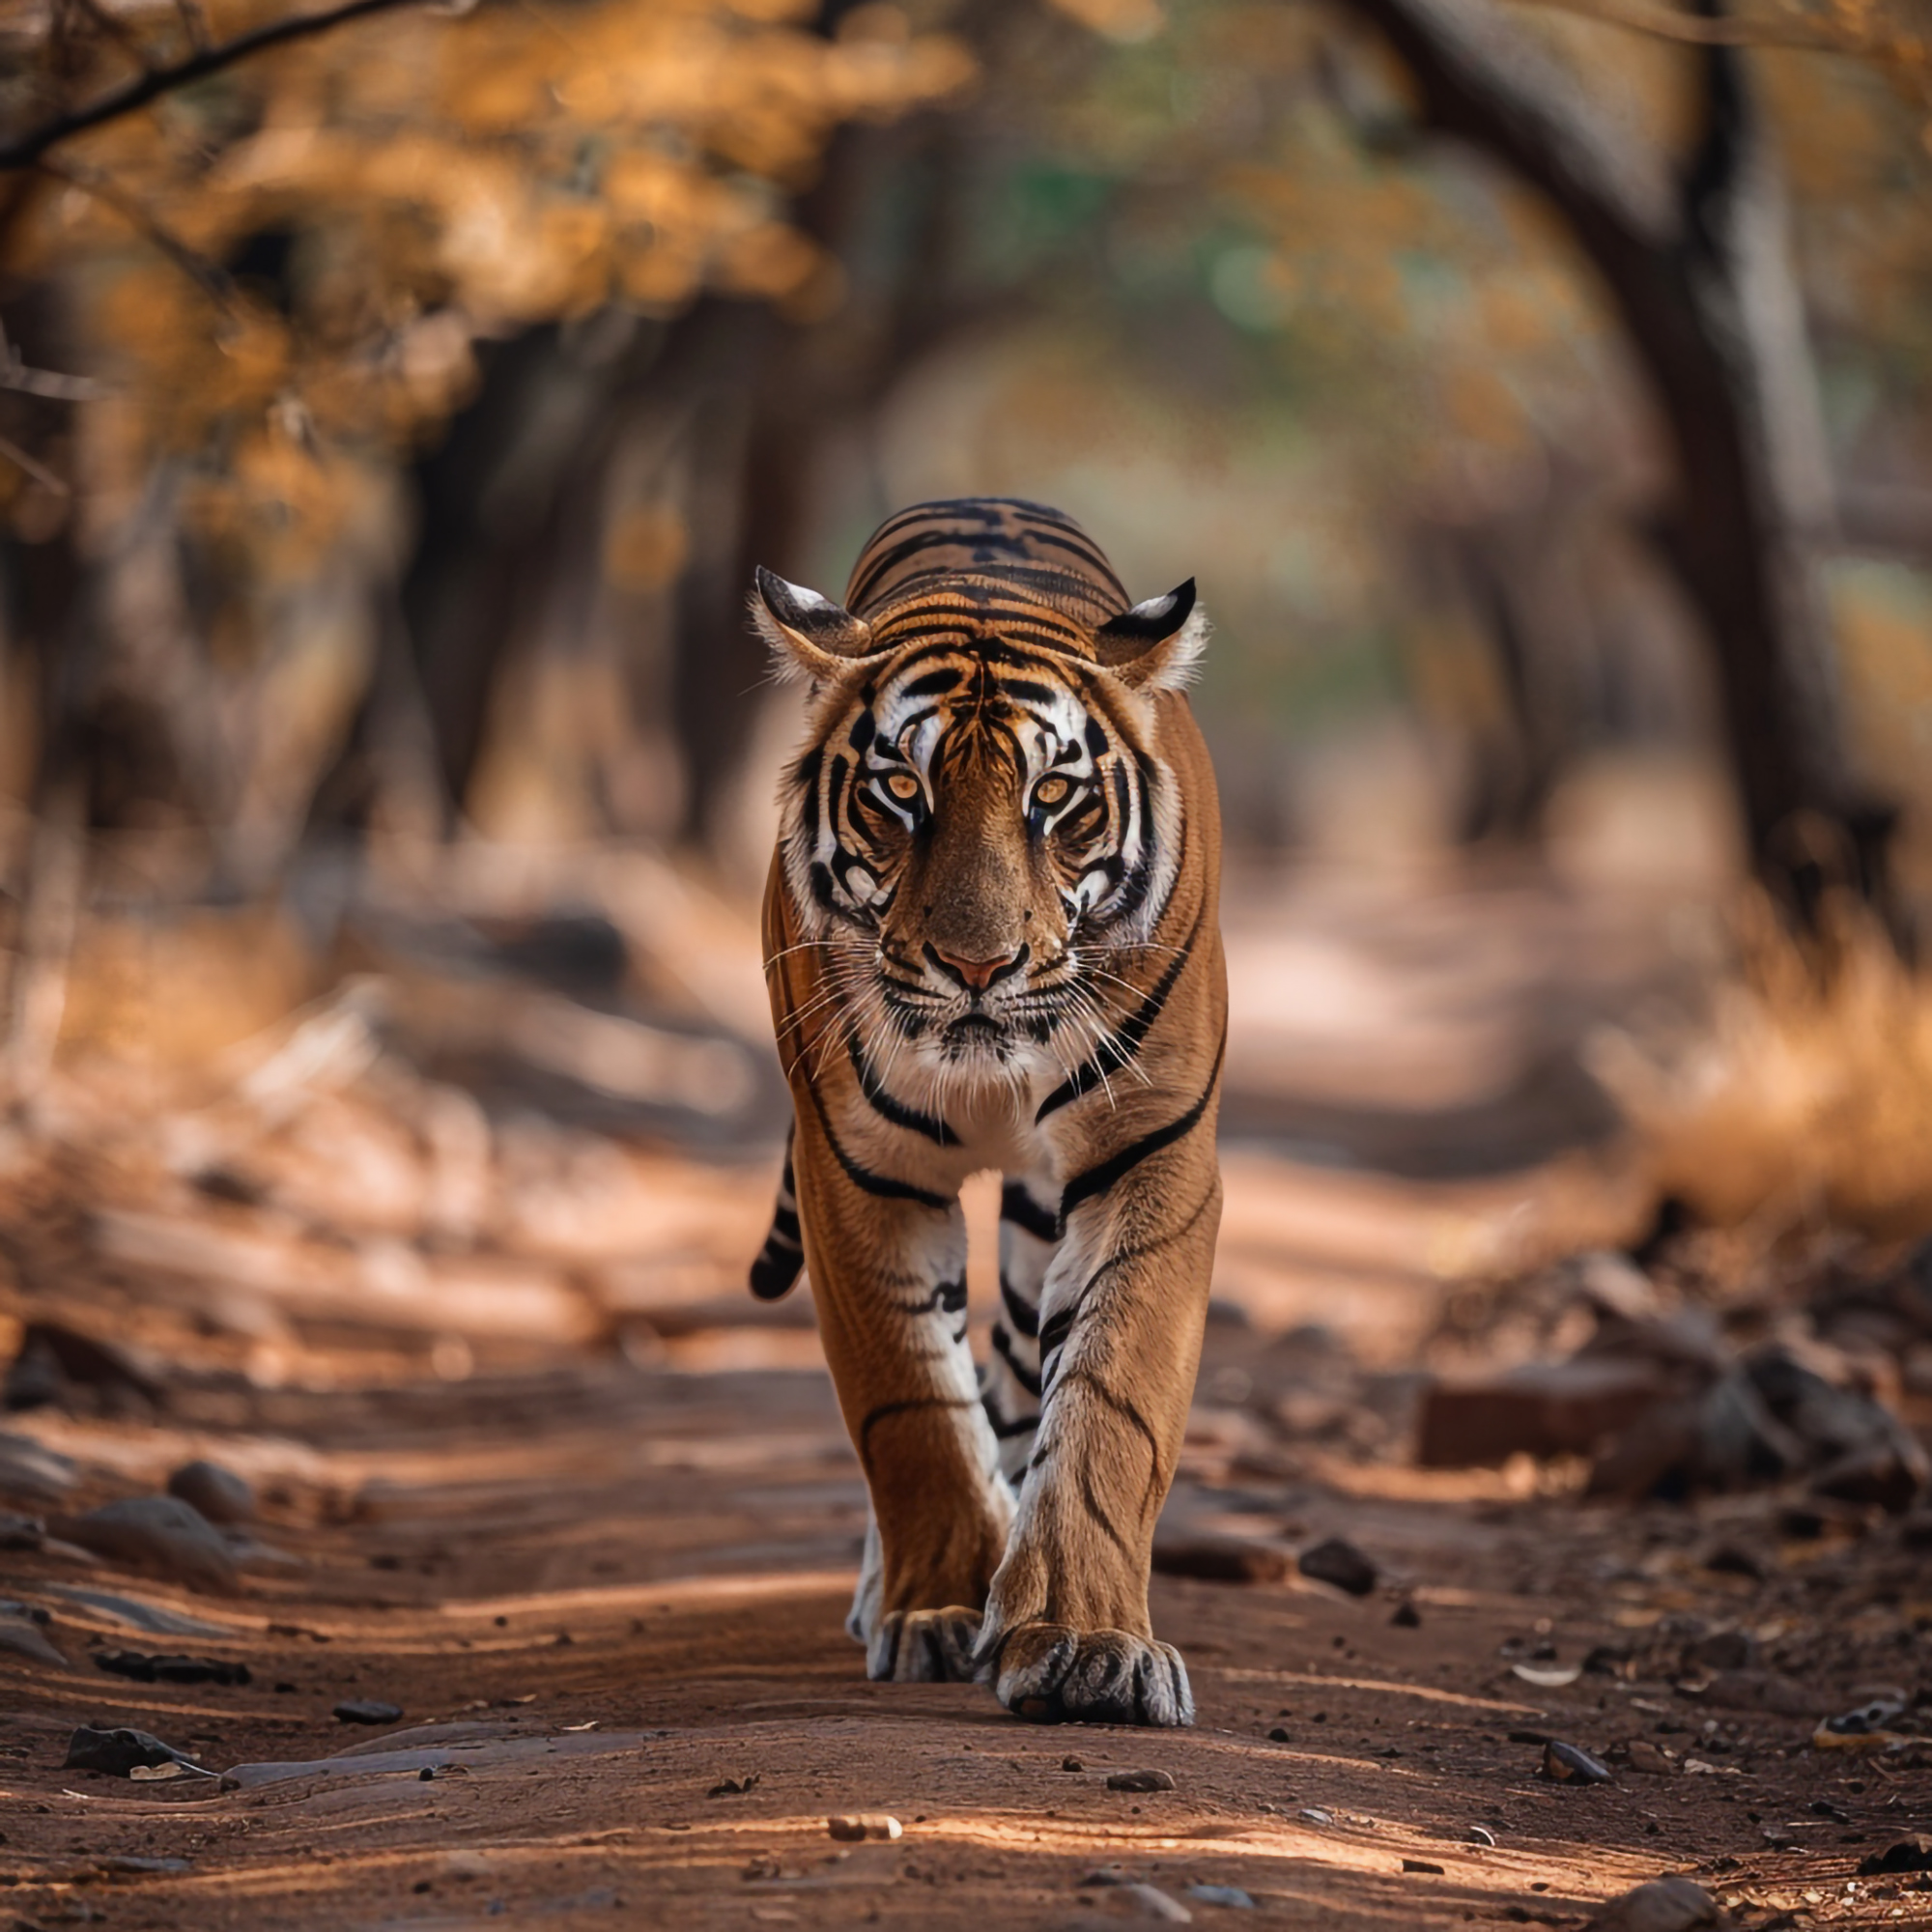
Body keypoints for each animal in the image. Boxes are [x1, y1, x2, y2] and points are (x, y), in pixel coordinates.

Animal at [749, 497, 1226, 1727]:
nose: (976, 964)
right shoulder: (852, 1167)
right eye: (899, 792)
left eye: (1051, 797)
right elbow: (910, 1401)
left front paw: (1084, 1640)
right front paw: (941, 1606)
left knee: (1015, 1383)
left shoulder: (1151, 1156)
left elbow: (1109, 1401)